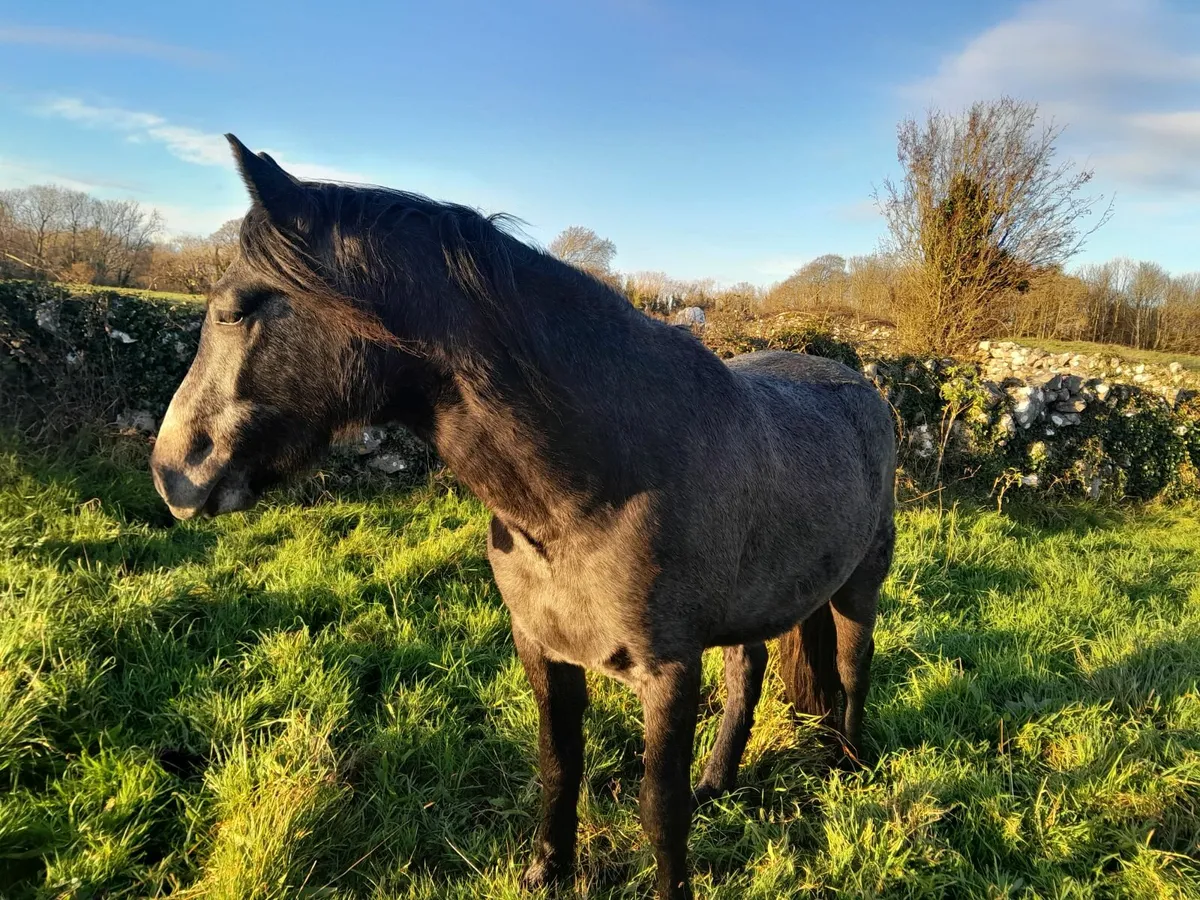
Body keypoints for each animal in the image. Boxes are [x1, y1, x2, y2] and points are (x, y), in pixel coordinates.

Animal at [150, 135, 896, 899]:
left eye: (234, 310)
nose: (173, 471)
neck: (591, 494)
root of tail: (861, 386)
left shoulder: (668, 672)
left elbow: (660, 807)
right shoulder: (542, 649)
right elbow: (559, 765)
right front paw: (548, 870)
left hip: (860, 584)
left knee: (853, 661)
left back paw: (849, 763)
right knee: (749, 672)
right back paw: (720, 780)